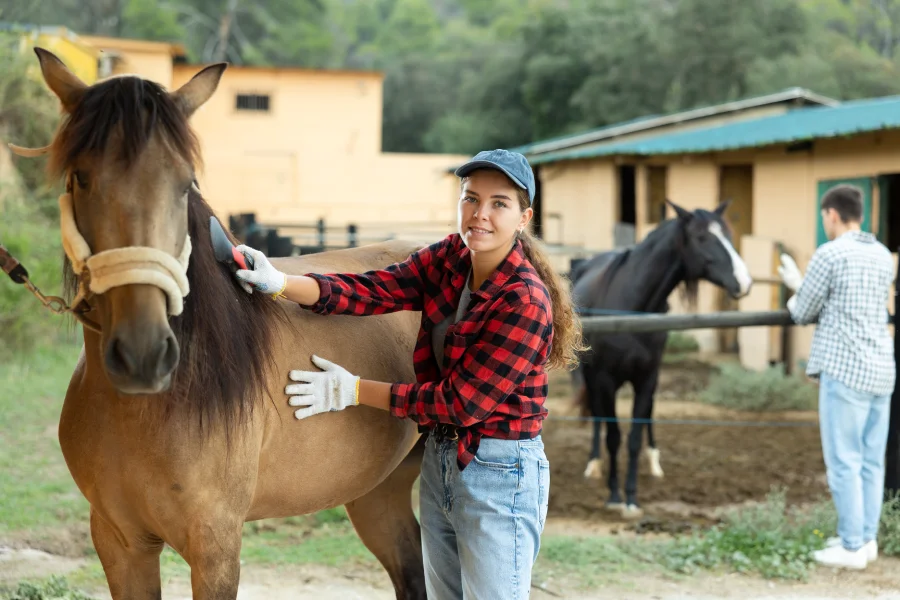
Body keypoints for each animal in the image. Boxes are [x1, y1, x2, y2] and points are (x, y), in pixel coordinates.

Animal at [20, 49, 428, 596]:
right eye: (81, 177)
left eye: (184, 183)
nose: (144, 354)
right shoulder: (119, 543)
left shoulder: (215, 547)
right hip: (377, 492)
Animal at [568, 199, 752, 516]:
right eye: (701, 237)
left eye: (727, 234)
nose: (744, 281)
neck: (631, 308)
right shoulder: (605, 380)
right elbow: (613, 436)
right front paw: (614, 495)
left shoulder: (647, 378)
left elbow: (633, 437)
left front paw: (631, 496)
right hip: (592, 378)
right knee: (597, 417)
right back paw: (593, 463)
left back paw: (653, 461)